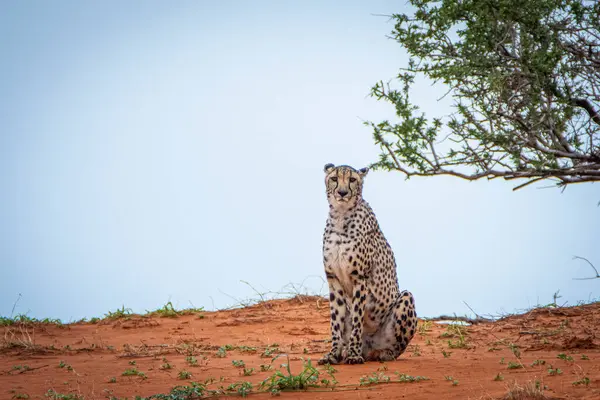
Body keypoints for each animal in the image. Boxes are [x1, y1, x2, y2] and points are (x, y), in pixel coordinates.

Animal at [318, 164, 418, 364]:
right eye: (334, 178)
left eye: (352, 180)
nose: (342, 192)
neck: (341, 216)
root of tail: (369, 346)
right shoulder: (333, 280)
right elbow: (335, 322)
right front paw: (333, 354)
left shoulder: (360, 278)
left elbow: (357, 319)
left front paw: (354, 355)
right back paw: (345, 350)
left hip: (406, 298)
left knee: (397, 348)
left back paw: (381, 353)